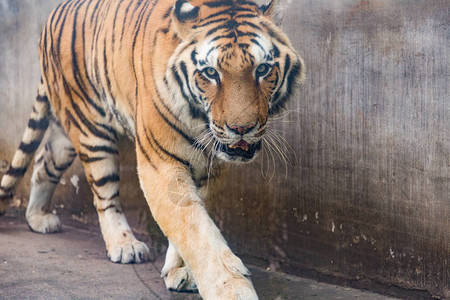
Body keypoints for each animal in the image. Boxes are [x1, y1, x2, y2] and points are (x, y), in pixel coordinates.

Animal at [0, 0, 304, 298]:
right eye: (210, 73)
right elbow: (194, 228)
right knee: (104, 195)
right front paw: (230, 289)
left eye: (262, 69)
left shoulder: (210, 167)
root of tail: (53, 14)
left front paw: (181, 272)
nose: (242, 128)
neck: (200, 123)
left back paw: (38, 218)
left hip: (65, 133)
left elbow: (194, 218)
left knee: (43, 163)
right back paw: (124, 245)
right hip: (90, 128)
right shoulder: (160, 163)